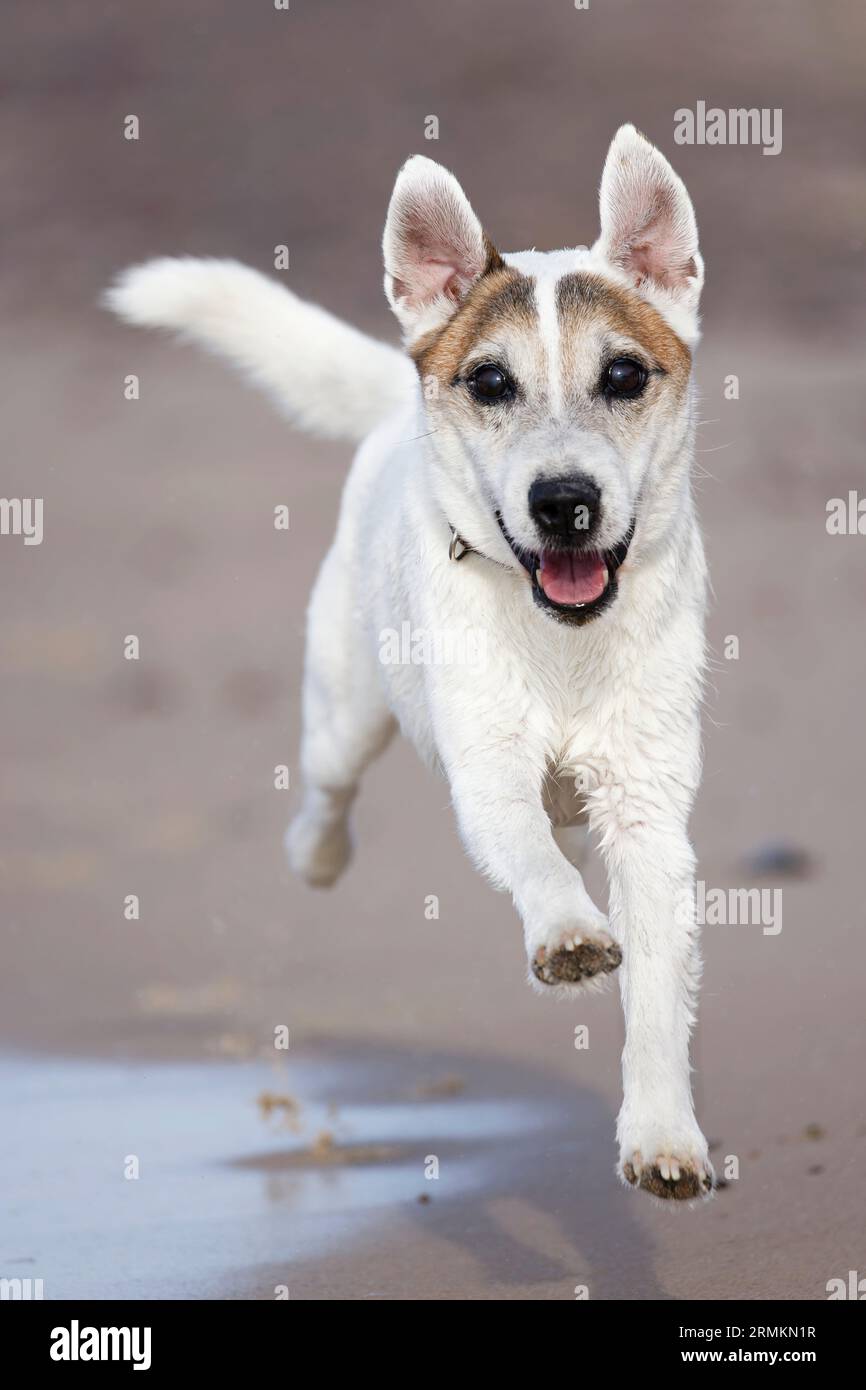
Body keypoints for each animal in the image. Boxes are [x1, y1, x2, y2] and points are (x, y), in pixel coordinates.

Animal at [108, 125, 717, 1200]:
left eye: (624, 376)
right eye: (490, 382)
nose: (565, 501)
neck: (564, 642)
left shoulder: (647, 813)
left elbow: (652, 991)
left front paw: (662, 1134)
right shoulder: (490, 775)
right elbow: (533, 855)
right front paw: (567, 933)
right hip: (344, 712)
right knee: (327, 793)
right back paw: (316, 854)